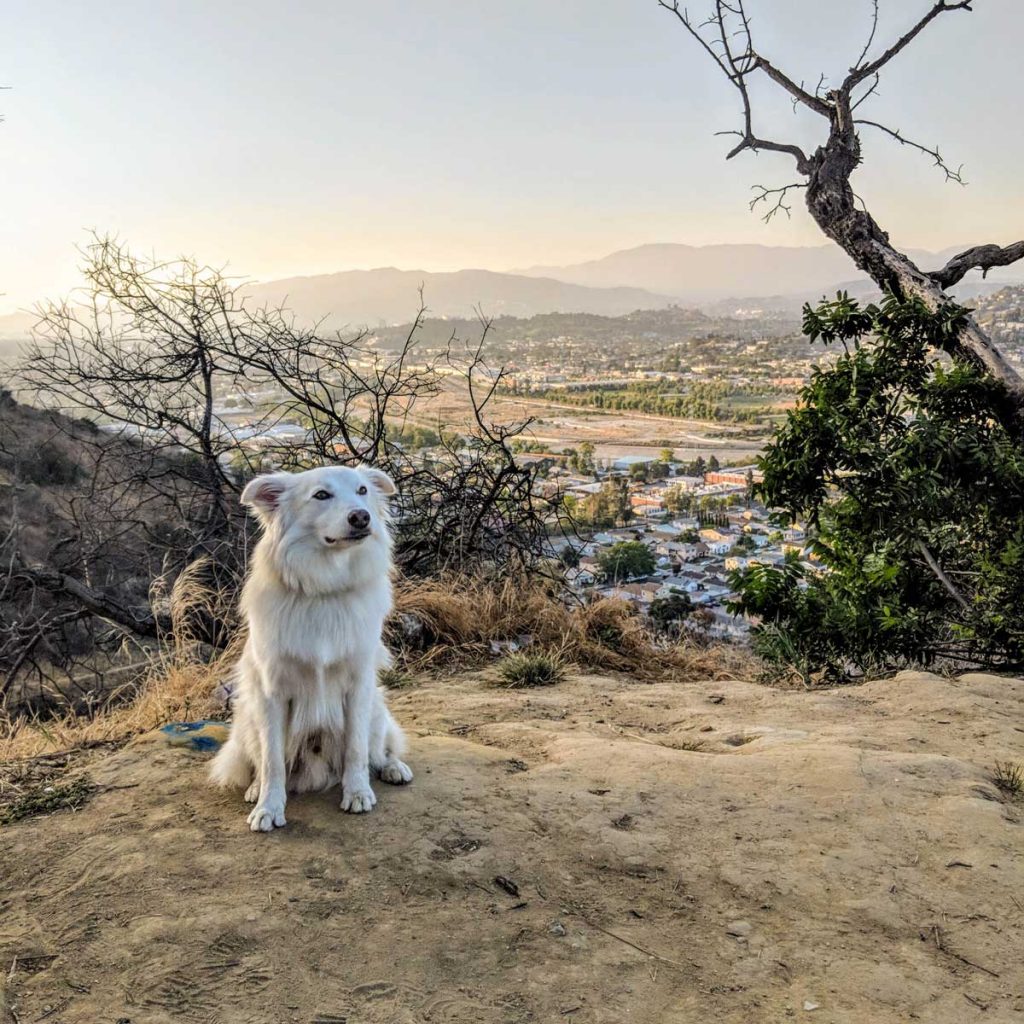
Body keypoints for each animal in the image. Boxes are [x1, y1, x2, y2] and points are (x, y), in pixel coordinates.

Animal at [207, 464, 411, 831]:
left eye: (362, 490)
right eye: (321, 495)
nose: (361, 517)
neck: (324, 588)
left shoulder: (358, 686)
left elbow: (356, 750)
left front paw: (357, 793)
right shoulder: (272, 693)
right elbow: (272, 761)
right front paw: (268, 807)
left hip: (376, 708)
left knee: (379, 750)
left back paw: (393, 767)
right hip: (248, 716)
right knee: (259, 761)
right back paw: (255, 789)